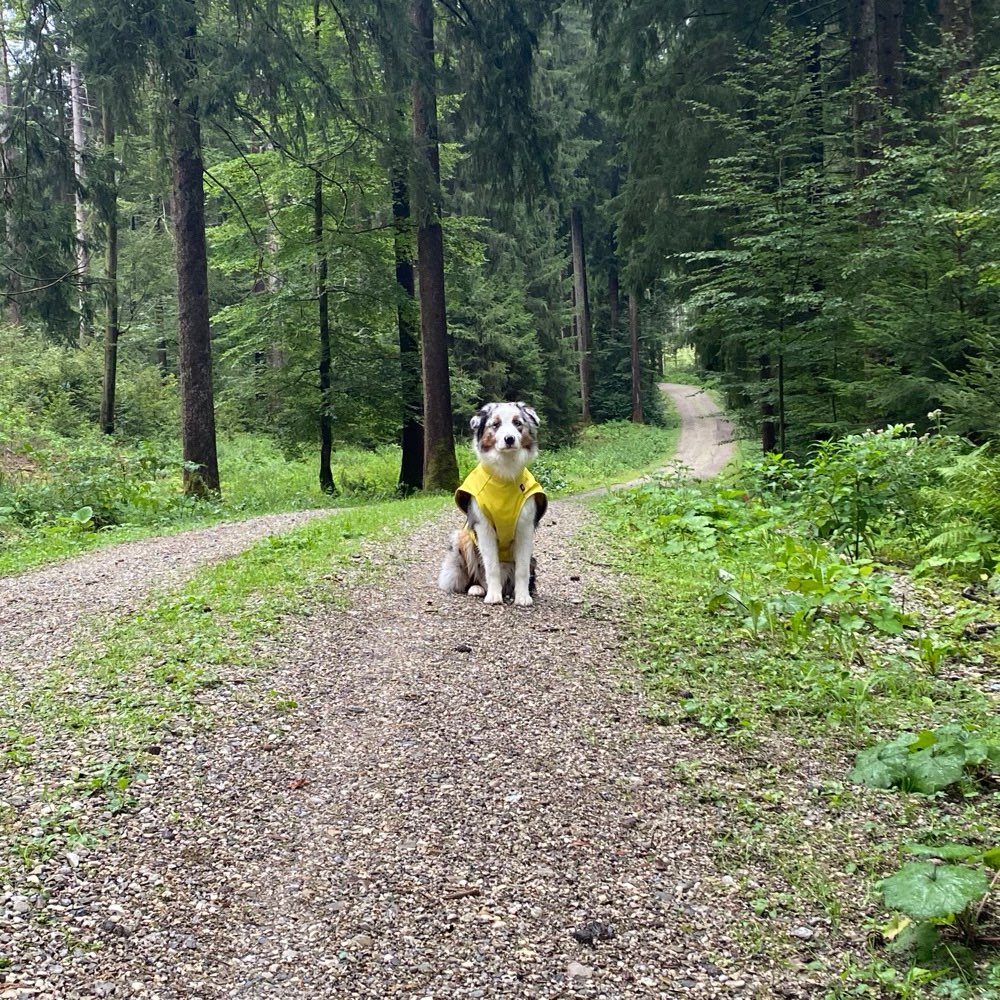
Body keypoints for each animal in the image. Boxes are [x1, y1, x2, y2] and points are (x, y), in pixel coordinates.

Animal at [436, 400, 548, 604]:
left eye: (518, 423)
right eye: (495, 425)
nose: (509, 439)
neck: (504, 477)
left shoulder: (525, 526)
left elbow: (522, 569)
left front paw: (523, 597)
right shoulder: (483, 526)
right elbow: (491, 565)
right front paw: (494, 596)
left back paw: (512, 592)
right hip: (462, 538)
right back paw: (478, 588)